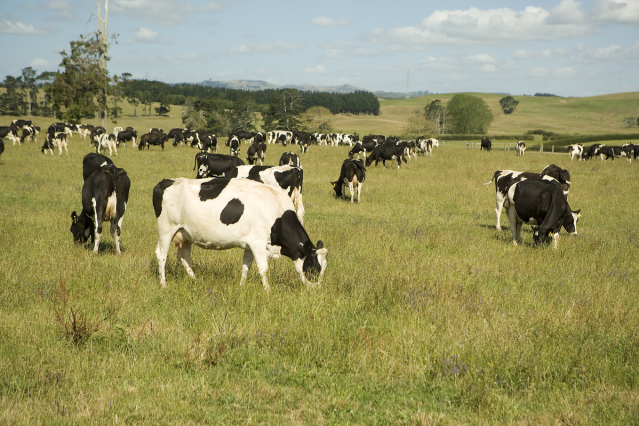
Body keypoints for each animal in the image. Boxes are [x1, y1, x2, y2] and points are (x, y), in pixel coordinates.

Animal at [152, 176, 328, 290]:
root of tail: (167, 181)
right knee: (161, 255)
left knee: (184, 256)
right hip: (166, 228)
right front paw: (268, 291)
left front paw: (242, 286)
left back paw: (195, 280)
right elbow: (264, 269)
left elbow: (246, 267)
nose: (317, 288)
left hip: (185, 234)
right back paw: (163, 284)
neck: (276, 211)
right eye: (314, 268)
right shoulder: (258, 243)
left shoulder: (250, 245)